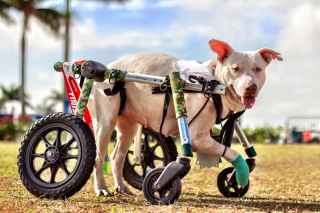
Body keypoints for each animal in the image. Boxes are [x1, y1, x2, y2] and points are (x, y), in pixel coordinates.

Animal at [89, 39, 282, 196]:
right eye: (235, 69)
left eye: (258, 69)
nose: (251, 87)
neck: (215, 85)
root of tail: (108, 68)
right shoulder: (198, 139)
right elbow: (233, 152)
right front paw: (240, 175)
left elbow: (246, 156)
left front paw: (235, 179)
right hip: (105, 123)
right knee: (98, 158)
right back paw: (102, 189)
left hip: (128, 126)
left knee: (117, 157)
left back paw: (121, 187)